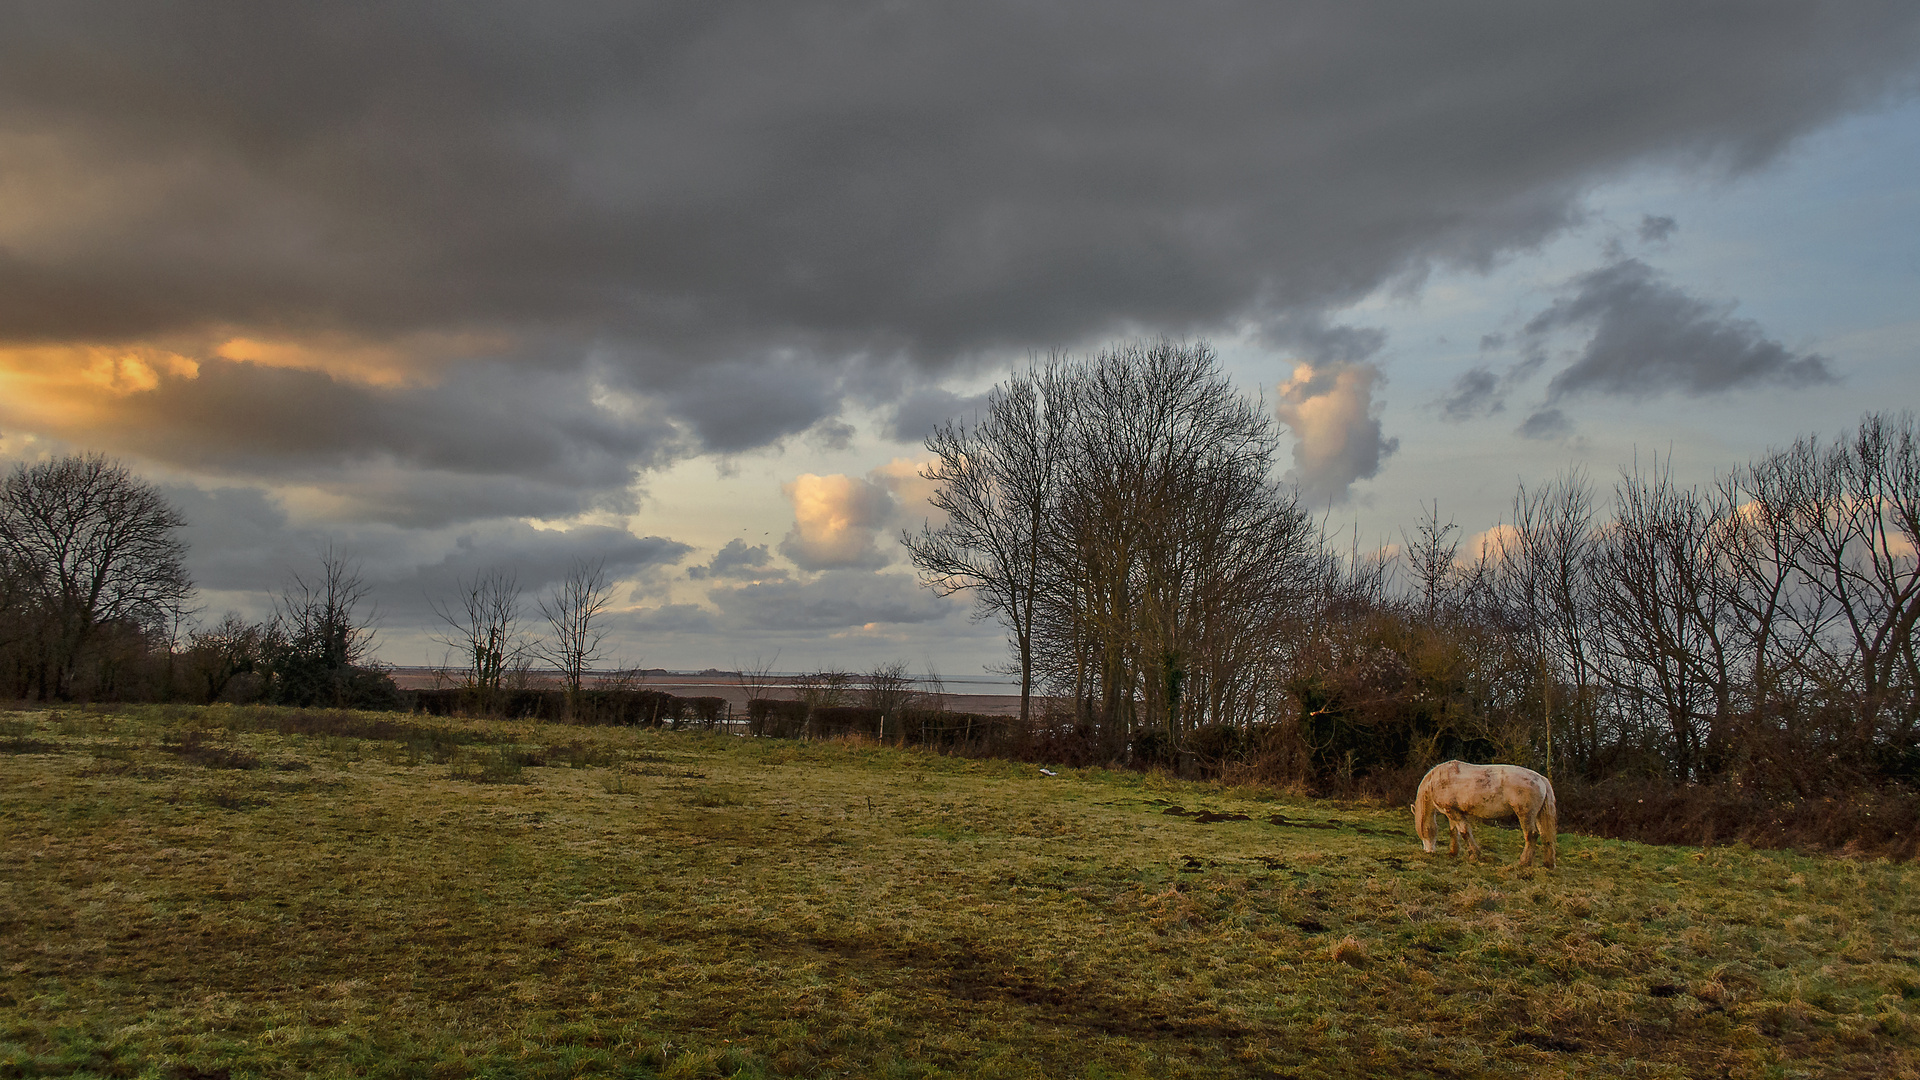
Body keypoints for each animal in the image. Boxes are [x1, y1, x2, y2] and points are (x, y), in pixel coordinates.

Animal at [1413, 757, 1559, 864]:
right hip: (1538, 815)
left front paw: (1474, 854)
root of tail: (1541, 779)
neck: (1438, 781)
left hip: (1525, 814)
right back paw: (1548, 864)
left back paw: (1524, 862)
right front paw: (1453, 852)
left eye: (1422, 831)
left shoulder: (1453, 812)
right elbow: (1454, 832)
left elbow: (1464, 832)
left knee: (1531, 835)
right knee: (1545, 835)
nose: (1428, 851)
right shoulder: (1453, 811)